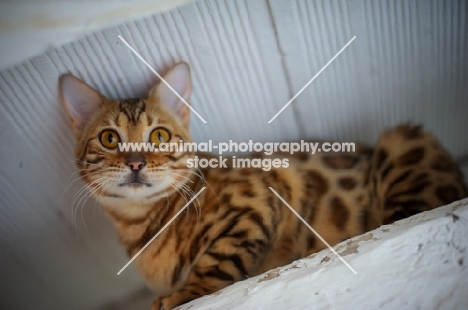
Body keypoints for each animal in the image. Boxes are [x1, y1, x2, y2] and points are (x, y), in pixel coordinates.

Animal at [59, 63, 468, 310]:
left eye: (159, 135)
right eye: (109, 138)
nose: (135, 162)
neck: (141, 228)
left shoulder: (256, 197)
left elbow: (216, 262)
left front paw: (184, 293)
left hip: (403, 140)